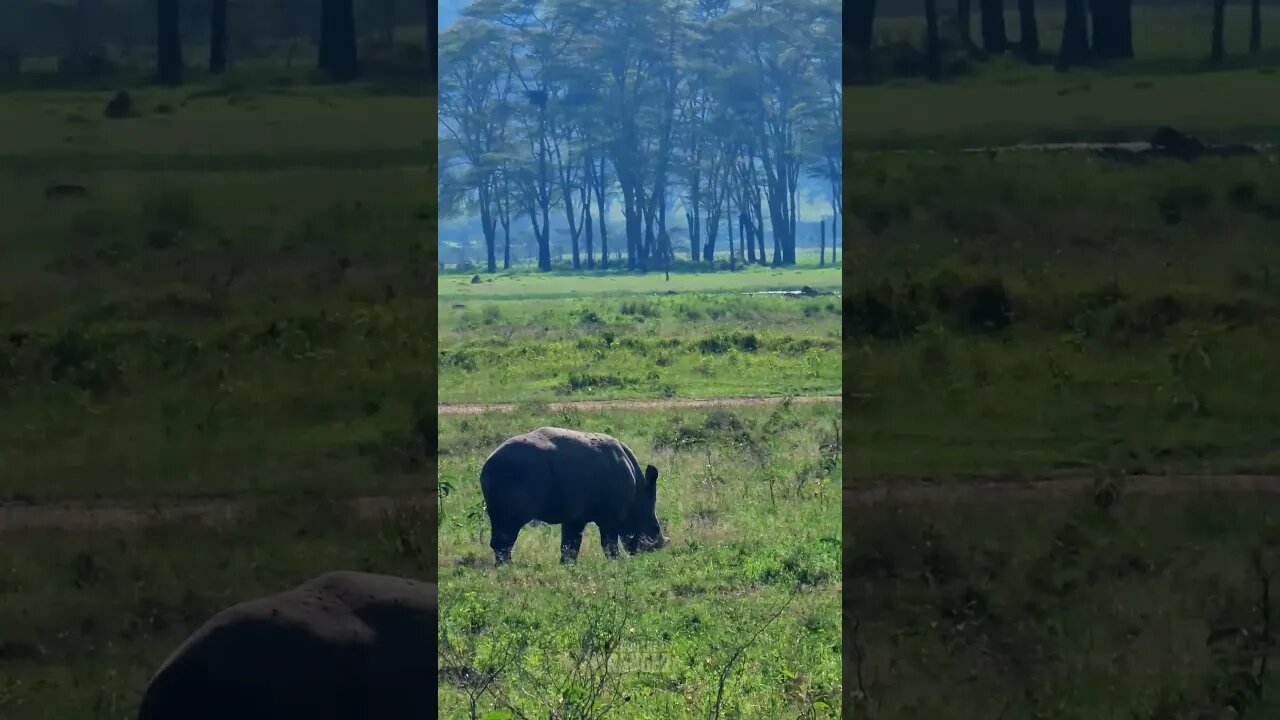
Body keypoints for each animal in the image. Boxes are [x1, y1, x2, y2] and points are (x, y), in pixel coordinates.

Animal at [481, 422, 670, 563]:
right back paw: (508, 569)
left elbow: (570, 545)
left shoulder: (575, 516)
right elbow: (609, 544)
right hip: (516, 474)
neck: (638, 496)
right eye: (655, 528)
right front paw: (618, 563)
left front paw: (568, 567)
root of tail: (488, 464)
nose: (657, 550)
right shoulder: (611, 515)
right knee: (508, 529)